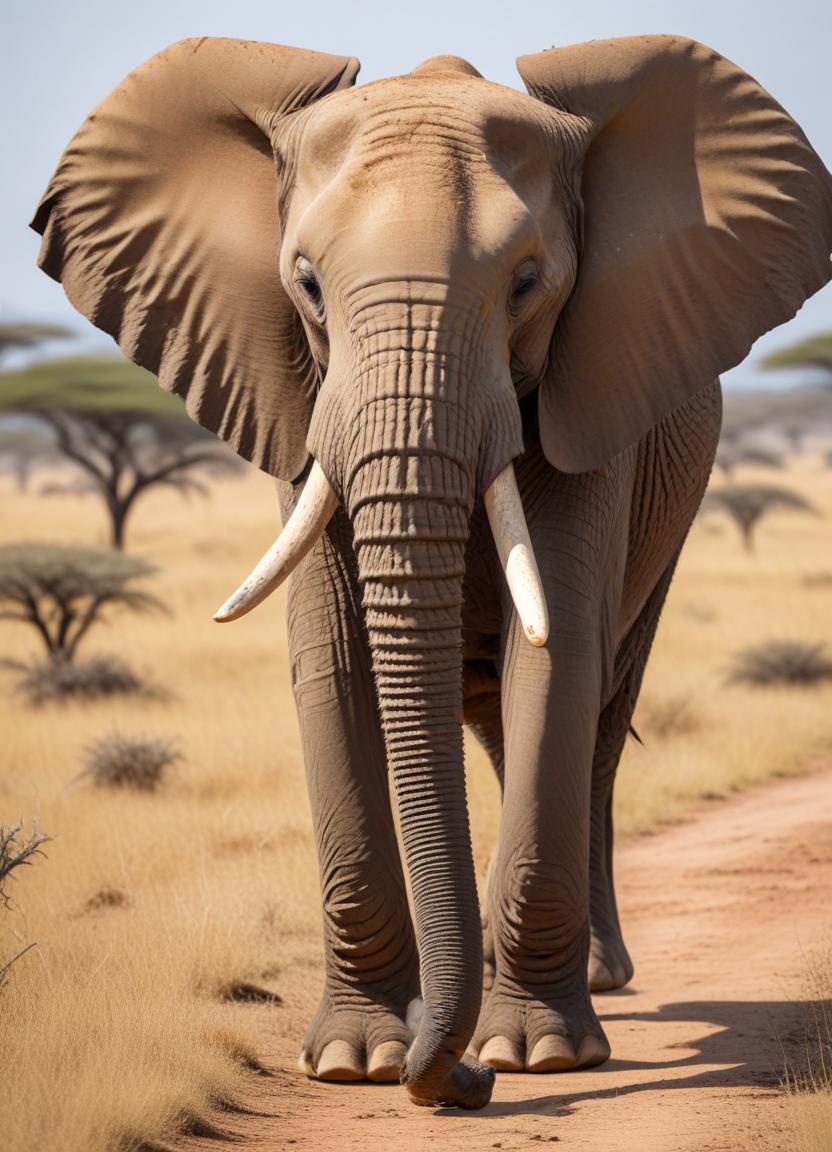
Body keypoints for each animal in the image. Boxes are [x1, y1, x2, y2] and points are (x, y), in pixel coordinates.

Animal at [31, 35, 832, 1110]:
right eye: (307, 284)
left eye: (529, 283)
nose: (460, 1081)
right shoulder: (300, 400)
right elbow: (332, 665)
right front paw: (354, 1062)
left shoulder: (592, 392)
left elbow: (558, 657)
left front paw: (537, 1055)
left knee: (599, 718)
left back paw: (592, 979)